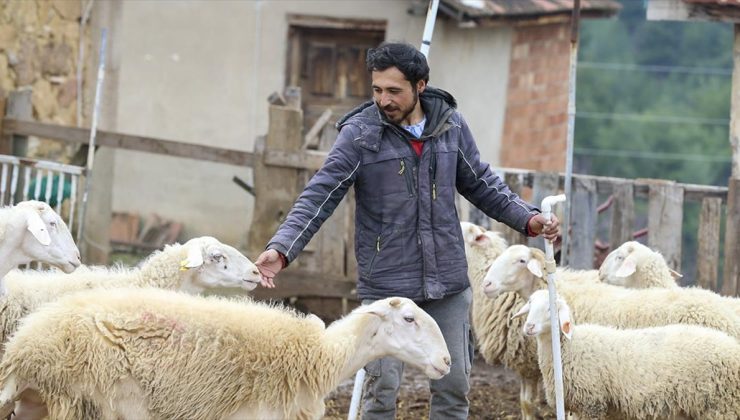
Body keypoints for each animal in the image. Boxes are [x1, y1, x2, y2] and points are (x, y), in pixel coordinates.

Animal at [0, 288, 450, 420]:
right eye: (409, 318)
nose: (446, 361)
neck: (318, 355)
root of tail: (25, 344)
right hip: (91, 401)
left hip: (39, 402)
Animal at [516, 288, 740, 420]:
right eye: (530, 304)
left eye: (550, 308)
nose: (529, 327)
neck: (569, 348)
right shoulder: (580, 407)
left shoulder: (592, 404)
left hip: (722, 407)